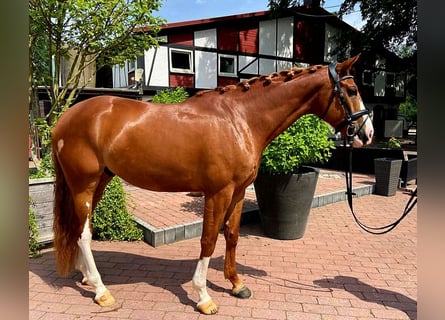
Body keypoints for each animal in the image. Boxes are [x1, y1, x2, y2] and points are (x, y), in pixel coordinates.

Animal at [51, 55, 372, 316]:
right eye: (352, 91)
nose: (366, 134)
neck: (239, 119)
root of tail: (65, 119)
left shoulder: (239, 191)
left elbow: (232, 235)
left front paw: (237, 284)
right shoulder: (218, 193)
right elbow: (208, 239)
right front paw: (204, 296)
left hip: (100, 181)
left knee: (81, 229)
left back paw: (86, 277)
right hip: (83, 185)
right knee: (83, 234)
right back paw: (101, 291)